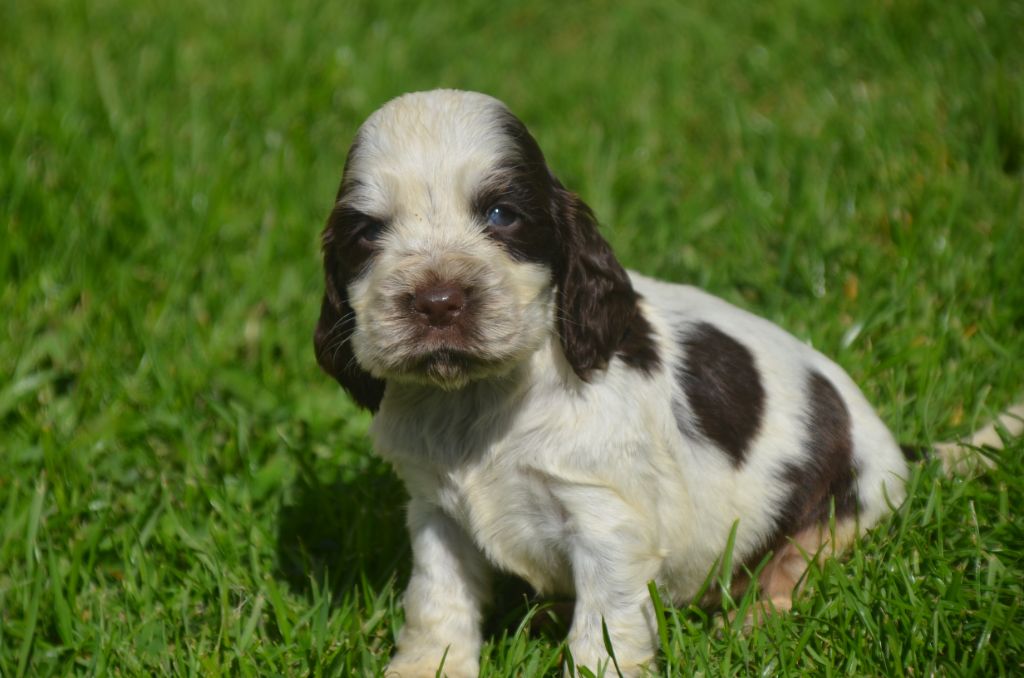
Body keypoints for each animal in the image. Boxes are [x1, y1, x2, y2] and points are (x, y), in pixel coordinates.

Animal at [311, 91, 958, 678]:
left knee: (803, 559)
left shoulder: (607, 523)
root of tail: (895, 447)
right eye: (367, 233)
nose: (437, 302)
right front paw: (427, 667)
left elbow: (603, 628)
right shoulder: (436, 511)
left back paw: (752, 616)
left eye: (501, 215)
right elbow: (435, 599)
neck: (480, 398)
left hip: (848, 501)